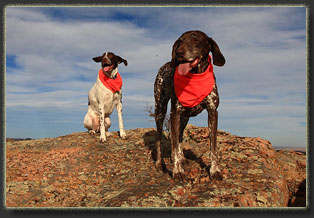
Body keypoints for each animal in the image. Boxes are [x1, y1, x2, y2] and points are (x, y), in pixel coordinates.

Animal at [153, 30, 224, 181]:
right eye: (180, 41)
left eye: (195, 39)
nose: (179, 52)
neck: (195, 76)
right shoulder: (175, 113)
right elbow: (173, 145)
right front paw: (177, 171)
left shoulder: (212, 112)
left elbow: (213, 147)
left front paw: (215, 170)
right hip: (160, 110)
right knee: (159, 140)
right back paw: (160, 163)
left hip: (184, 118)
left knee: (178, 136)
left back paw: (181, 157)